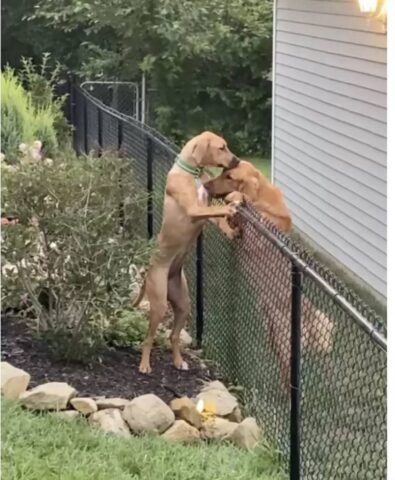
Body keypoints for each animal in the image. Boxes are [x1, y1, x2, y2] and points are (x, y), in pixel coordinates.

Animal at [135, 131, 241, 376]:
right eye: (222, 147)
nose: (237, 161)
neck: (192, 172)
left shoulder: (205, 209)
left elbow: (218, 216)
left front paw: (231, 229)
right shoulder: (195, 209)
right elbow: (218, 209)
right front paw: (232, 206)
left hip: (183, 304)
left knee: (174, 336)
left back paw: (178, 361)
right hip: (159, 303)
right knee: (148, 337)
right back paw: (144, 365)